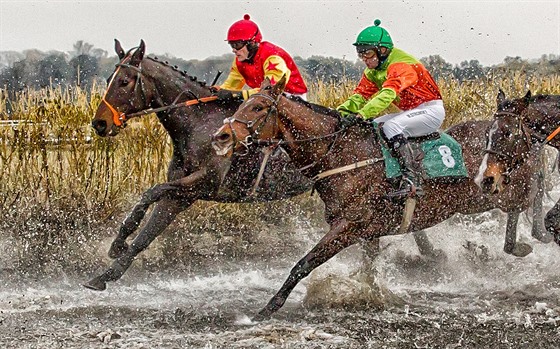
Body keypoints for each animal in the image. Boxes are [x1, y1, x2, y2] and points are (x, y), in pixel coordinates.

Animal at [212, 76, 548, 318]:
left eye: (258, 108)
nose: (221, 137)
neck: (342, 153)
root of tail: (525, 133)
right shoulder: (368, 231)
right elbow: (368, 266)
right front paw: (367, 293)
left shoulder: (347, 226)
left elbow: (303, 264)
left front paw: (268, 307)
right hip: (482, 195)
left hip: (496, 189)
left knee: (529, 199)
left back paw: (530, 238)